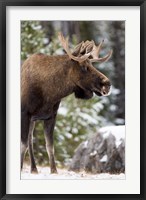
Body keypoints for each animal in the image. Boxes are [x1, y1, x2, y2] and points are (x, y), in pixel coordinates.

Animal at [20, 32, 112, 173]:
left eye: (92, 65)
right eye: (84, 67)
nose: (107, 84)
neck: (50, 93)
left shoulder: (50, 116)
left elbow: (49, 146)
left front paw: (54, 171)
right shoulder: (24, 113)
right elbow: (23, 145)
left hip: (33, 120)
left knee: (30, 140)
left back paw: (34, 169)